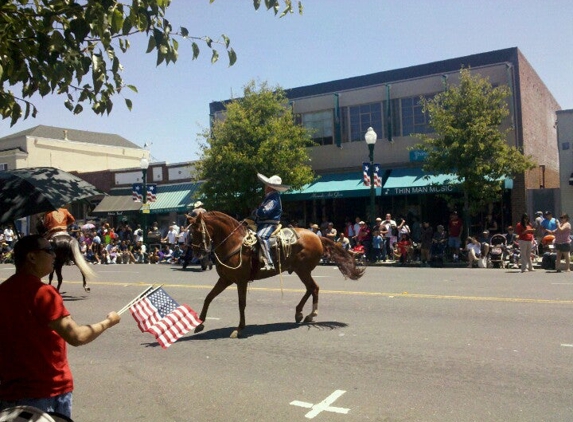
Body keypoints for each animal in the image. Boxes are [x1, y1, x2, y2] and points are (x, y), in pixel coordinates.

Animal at [190, 213, 364, 338]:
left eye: (197, 231)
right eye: (190, 231)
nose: (196, 252)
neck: (235, 243)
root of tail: (317, 236)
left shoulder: (241, 281)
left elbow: (241, 304)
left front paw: (239, 329)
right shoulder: (225, 279)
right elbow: (209, 297)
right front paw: (199, 323)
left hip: (303, 270)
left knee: (314, 288)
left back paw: (310, 314)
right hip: (301, 271)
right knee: (310, 288)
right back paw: (300, 313)